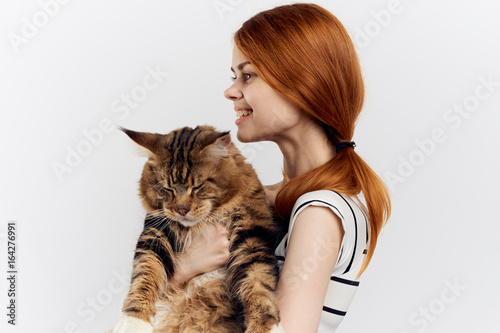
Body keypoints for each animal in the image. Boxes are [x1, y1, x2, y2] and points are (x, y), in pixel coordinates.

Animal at [111, 125, 286, 332]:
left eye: (197, 187)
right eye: (167, 188)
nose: (181, 210)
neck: (199, 226)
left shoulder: (252, 238)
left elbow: (258, 284)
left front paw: (266, 326)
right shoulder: (155, 234)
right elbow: (145, 275)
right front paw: (133, 321)